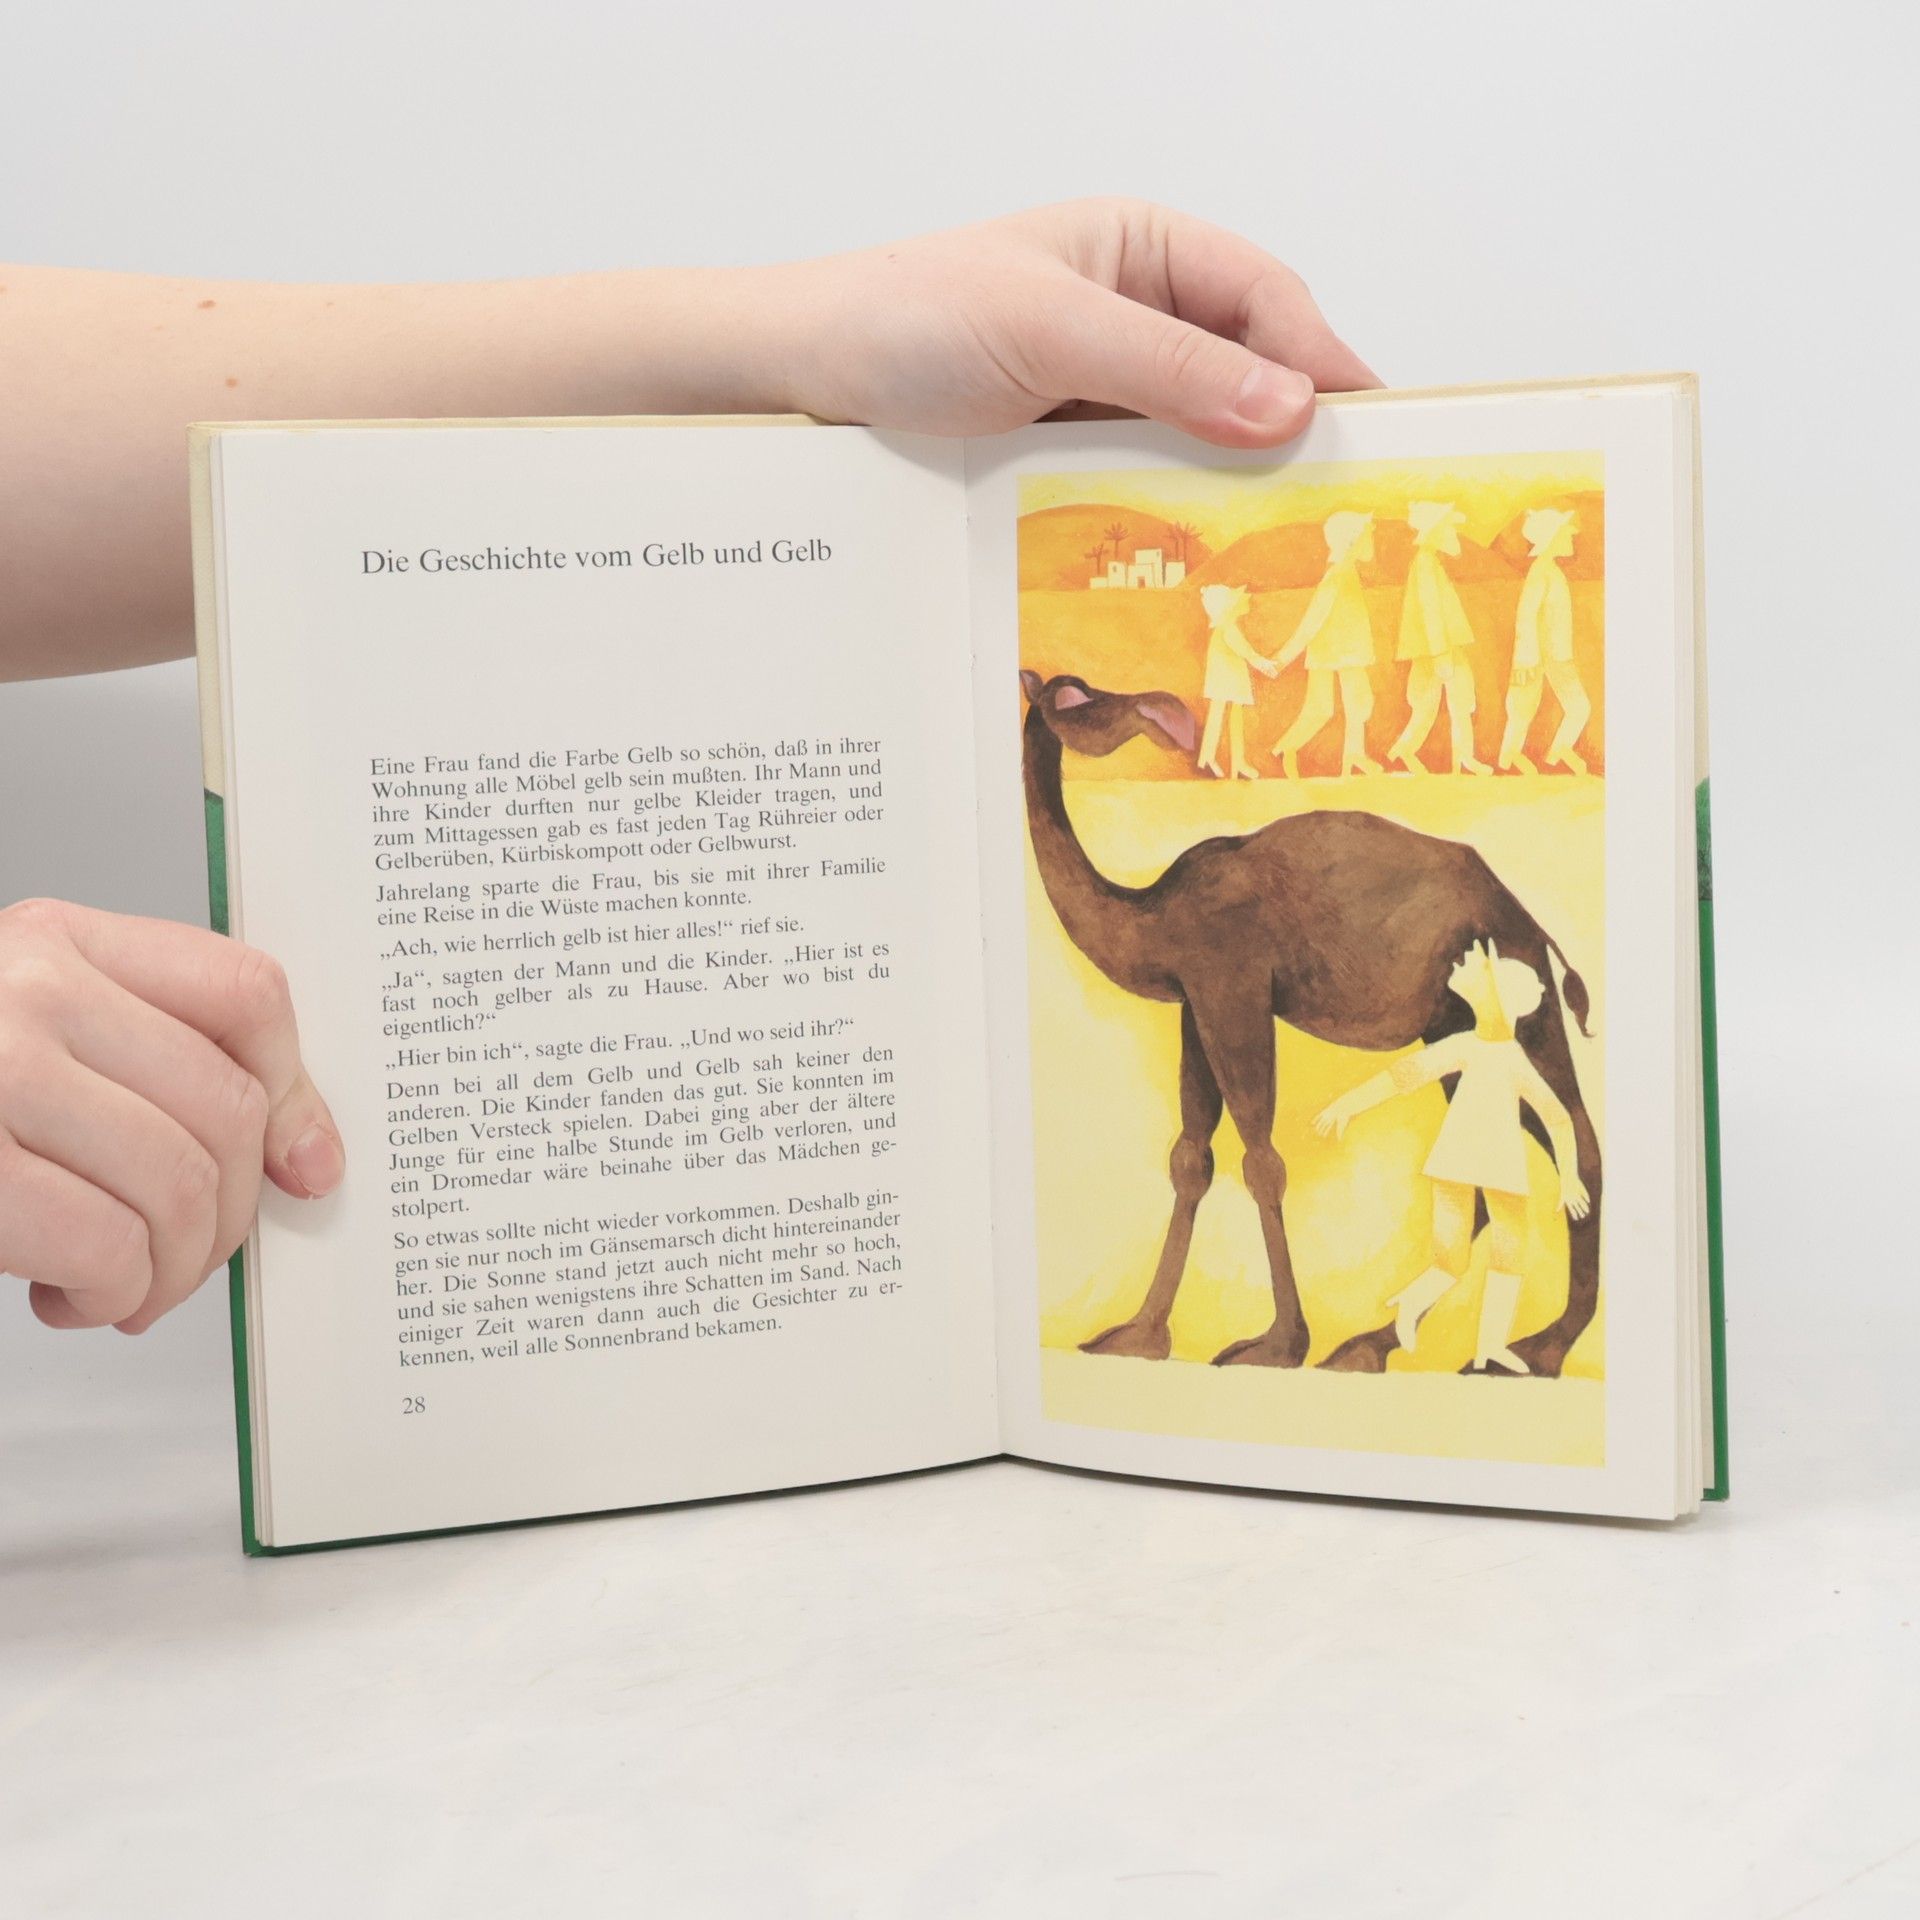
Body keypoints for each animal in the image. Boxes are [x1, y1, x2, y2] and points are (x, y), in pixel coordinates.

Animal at [1020, 670, 1601, 1377]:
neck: (1154, 918)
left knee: (1577, 1135)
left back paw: (1541, 1350)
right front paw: (1137, 1334)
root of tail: (1535, 927)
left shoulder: (1234, 986)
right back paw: (1376, 1347)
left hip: (1517, 1001)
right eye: (1074, 695)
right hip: (1450, 1023)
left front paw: (1276, 1344)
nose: (1155, 707)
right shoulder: (1196, 1001)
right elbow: (1190, 1158)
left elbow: (1262, 1161)